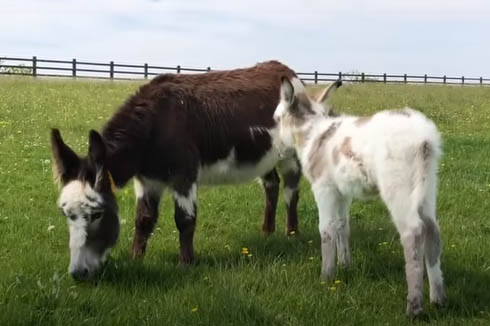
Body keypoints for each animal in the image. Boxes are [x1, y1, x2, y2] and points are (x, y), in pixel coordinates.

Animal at [274, 77, 446, 318]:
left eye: (277, 119)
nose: (277, 150)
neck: (313, 135)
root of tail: (424, 139)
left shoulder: (324, 188)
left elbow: (326, 229)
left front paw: (325, 277)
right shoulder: (342, 193)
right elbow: (342, 226)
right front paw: (345, 265)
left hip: (398, 188)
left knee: (413, 233)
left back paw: (413, 307)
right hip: (427, 185)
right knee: (432, 230)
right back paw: (438, 299)